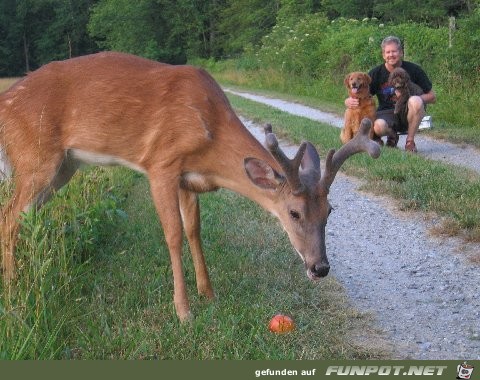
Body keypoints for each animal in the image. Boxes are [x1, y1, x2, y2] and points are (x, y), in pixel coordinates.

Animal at [0, 52, 378, 322]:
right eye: (294, 212)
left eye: (330, 211)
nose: (320, 268)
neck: (211, 132)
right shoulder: (161, 164)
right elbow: (173, 234)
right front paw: (183, 311)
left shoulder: (189, 179)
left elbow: (195, 230)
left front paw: (208, 294)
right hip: (36, 159)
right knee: (9, 217)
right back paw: (15, 290)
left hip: (63, 168)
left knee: (23, 218)